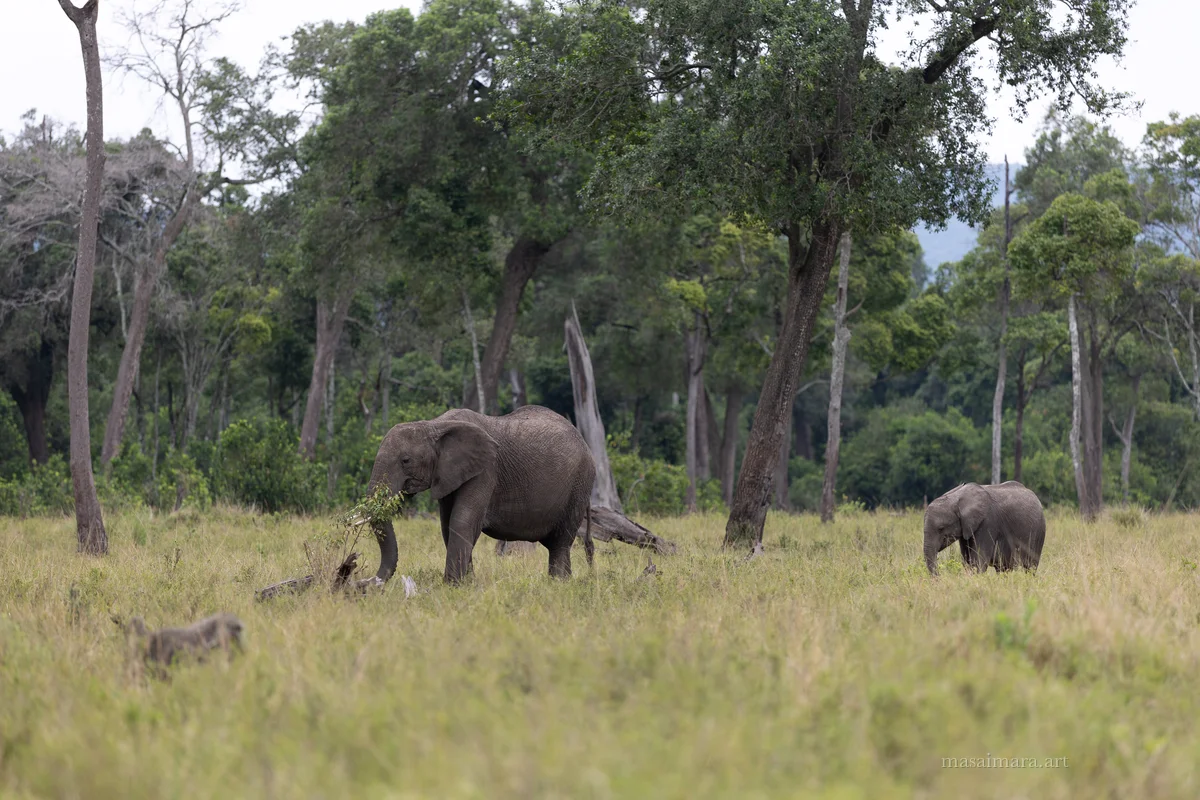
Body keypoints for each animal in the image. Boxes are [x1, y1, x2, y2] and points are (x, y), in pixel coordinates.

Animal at [366, 405, 596, 584]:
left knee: (560, 542)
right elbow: (447, 526)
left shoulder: (485, 470)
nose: (365, 584)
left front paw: (452, 586)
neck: (435, 425)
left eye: (405, 460)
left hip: (579, 484)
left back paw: (559, 584)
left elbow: (462, 522)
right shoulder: (449, 474)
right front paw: (468, 584)